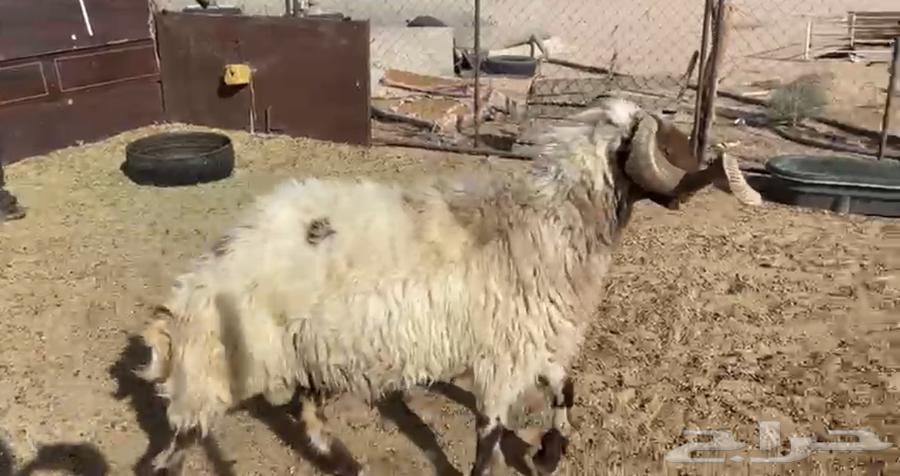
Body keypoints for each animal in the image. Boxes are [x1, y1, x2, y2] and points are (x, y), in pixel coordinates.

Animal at [137, 97, 762, 476]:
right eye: (666, 139)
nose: (707, 166)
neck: (549, 223)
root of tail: (194, 285)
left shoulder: (542, 337)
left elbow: (566, 390)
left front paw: (549, 453)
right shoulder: (504, 354)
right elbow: (489, 434)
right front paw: (529, 453)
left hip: (307, 353)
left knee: (308, 417)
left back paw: (350, 465)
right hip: (220, 371)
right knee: (172, 452)